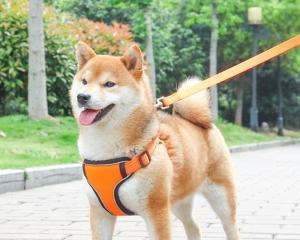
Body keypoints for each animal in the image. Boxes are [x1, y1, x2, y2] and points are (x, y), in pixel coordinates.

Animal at [69, 42, 239, 239]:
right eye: (84, 81)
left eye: (109, 84)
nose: (82, 97)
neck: (106, 151)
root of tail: (205, 124)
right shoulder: (100, 212)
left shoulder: (156, 210)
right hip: (177, 201)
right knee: (194, 226)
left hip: (221, 198)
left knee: (232, 227)